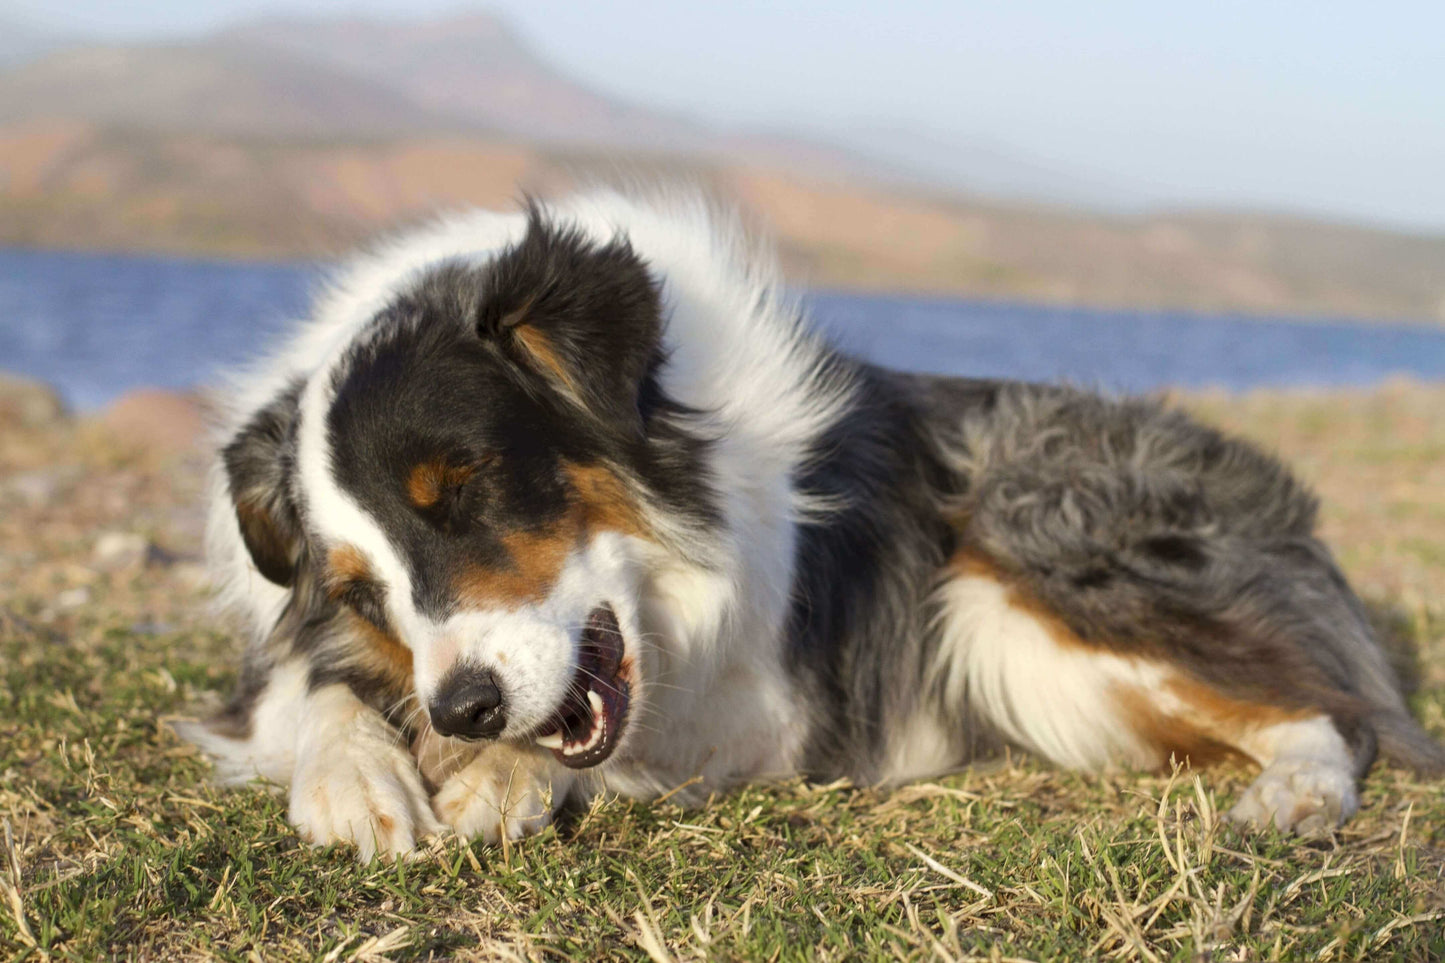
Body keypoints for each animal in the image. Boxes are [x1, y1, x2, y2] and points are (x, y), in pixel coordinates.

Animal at [183, 185, 1445, 856]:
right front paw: (357, 776)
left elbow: (619, 754)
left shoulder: (780, 710)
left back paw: (1294, 793)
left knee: (1329, 707)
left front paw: (500, 775)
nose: (466, 709)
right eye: (361, 589)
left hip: (1019, 585)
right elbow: (314, 691)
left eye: (471, 486)